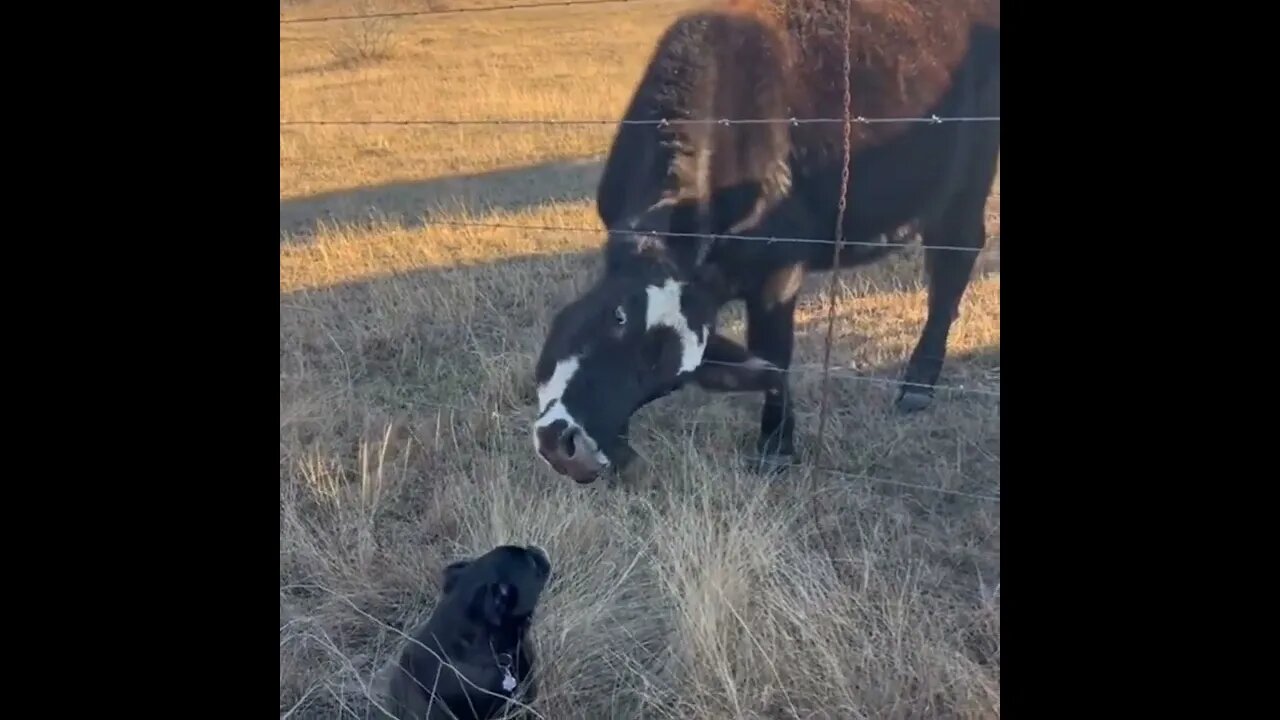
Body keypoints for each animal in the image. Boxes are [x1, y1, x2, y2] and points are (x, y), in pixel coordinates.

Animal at [532, 0, 1000, 485]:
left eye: (664, 376)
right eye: (620, 316)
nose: (573, 451)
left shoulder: (780, 270)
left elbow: (774, 357)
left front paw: (776, 446)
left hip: (967, 182)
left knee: (953, 264)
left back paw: (918, 383)